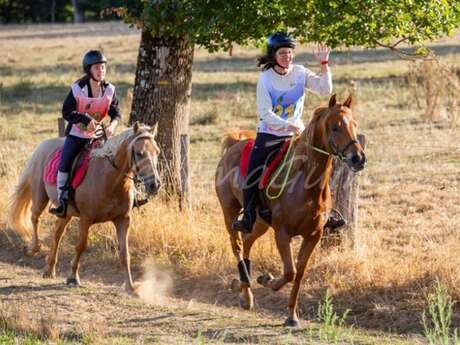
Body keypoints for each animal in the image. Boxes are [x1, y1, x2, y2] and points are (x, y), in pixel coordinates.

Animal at [7, 122, 162, 292]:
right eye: (140, 153)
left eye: (157, 152)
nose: (155, 185)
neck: (109, 179)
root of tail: (42, 145)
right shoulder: (86, 218)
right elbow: (81, 246)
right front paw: (73, 277)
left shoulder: (123, 220)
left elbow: (124, 253)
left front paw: (130, 286)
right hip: (40, 196)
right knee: (34, 218)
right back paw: (33, 249)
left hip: (66, 212)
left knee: (57, 233)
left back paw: (49, 269)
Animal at [216, 94, 366, 326]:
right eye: (335, 127)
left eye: (355, 124)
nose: (358, 158)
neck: (305, 183)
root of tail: (234, 144)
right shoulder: (282, 233)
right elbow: (289, 271)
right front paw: (267, 280)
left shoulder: (313, 235)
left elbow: (299, 273)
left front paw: (291, 316)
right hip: (230, 212)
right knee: (238, 246)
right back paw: (245, 288)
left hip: (260, 222)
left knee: (248, 241)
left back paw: (243, 288)